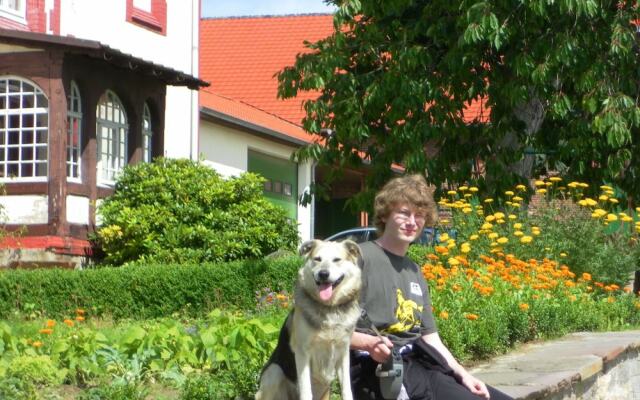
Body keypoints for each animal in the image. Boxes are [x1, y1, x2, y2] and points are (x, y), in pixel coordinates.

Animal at [256, 239, 364, 398]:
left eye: (337, 260)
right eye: (317, 259)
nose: (323, 274)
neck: (329, 308)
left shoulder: (343, 352)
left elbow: (346, 389)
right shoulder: (302, 353)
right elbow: (306, 391)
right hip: (274, 372)